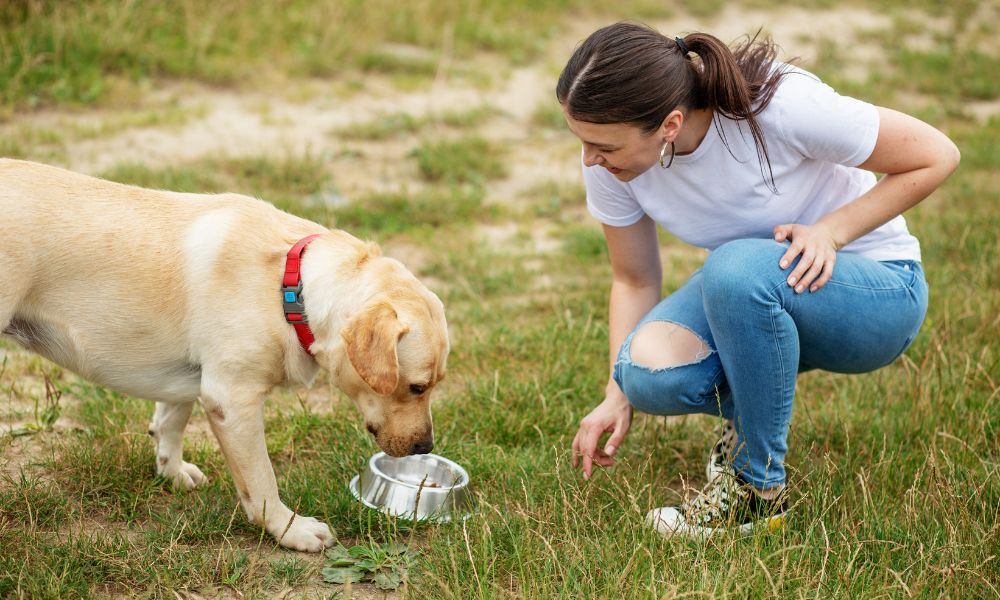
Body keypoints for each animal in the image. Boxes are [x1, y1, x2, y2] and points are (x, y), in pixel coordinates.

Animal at [0, 159, 448, 552]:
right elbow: (262, 481)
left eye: (434, 386)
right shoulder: (233, 400)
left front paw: (171, 471)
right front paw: (290, 529)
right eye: (416, 387)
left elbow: (170, 423)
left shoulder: (188, 380)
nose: (425, 446)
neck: (290, 286)